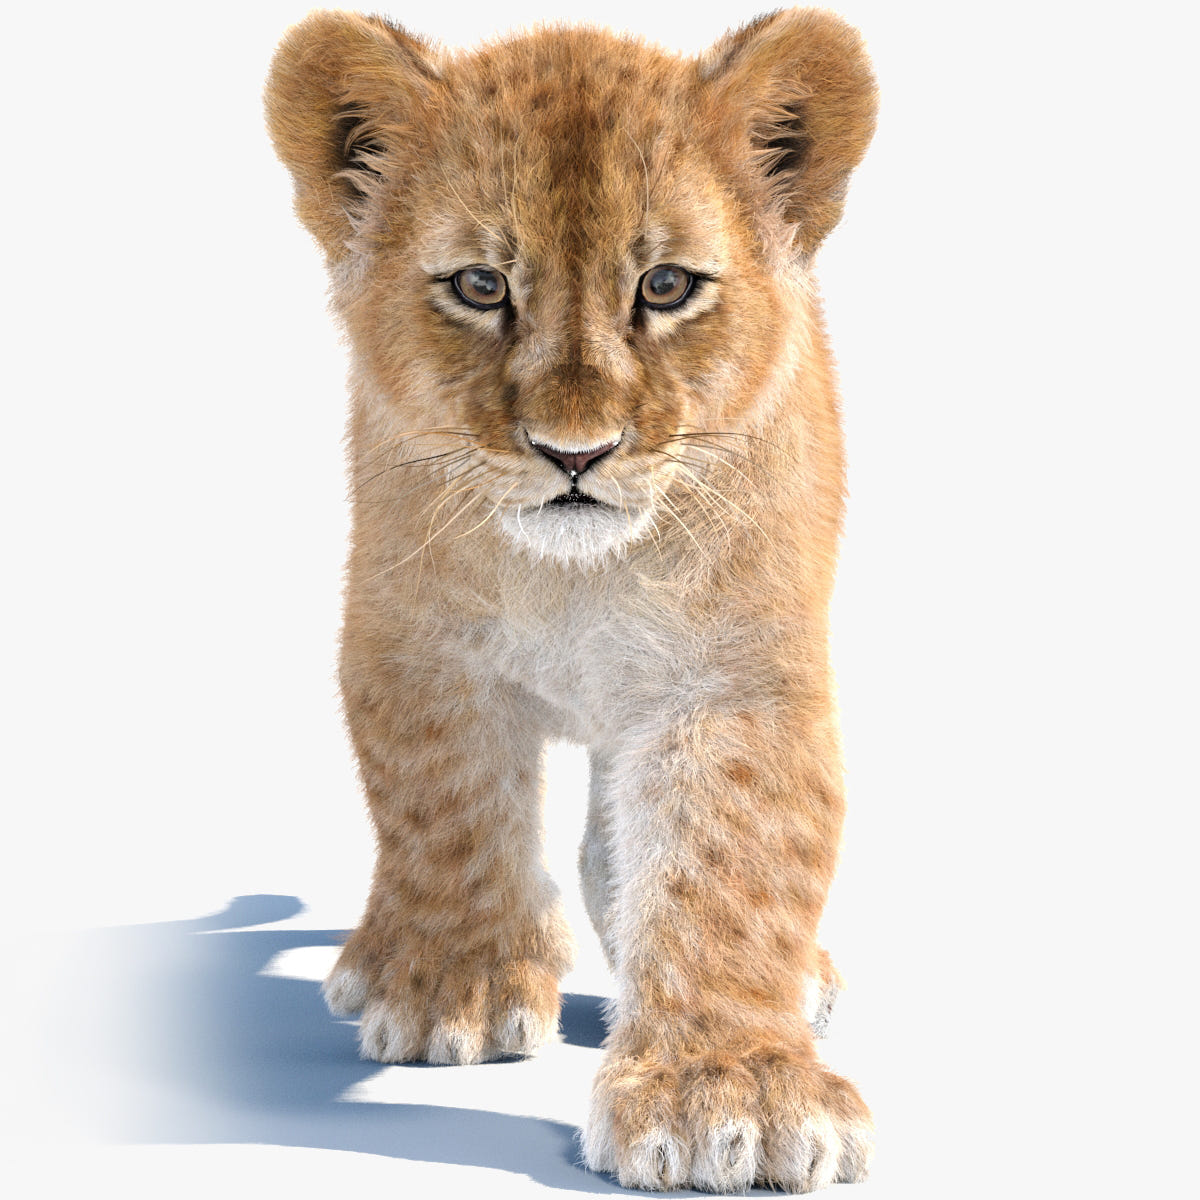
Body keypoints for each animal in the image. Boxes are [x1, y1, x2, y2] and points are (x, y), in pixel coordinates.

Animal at [265, 7, 877, 1192]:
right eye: (480, 287)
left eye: (668, 287)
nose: (574, 453)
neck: (577, 580)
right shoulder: (416, 645)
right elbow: (445, 809)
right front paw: (451, 990)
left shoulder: (734, 677)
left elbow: (731, 861)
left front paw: (730, 1095)